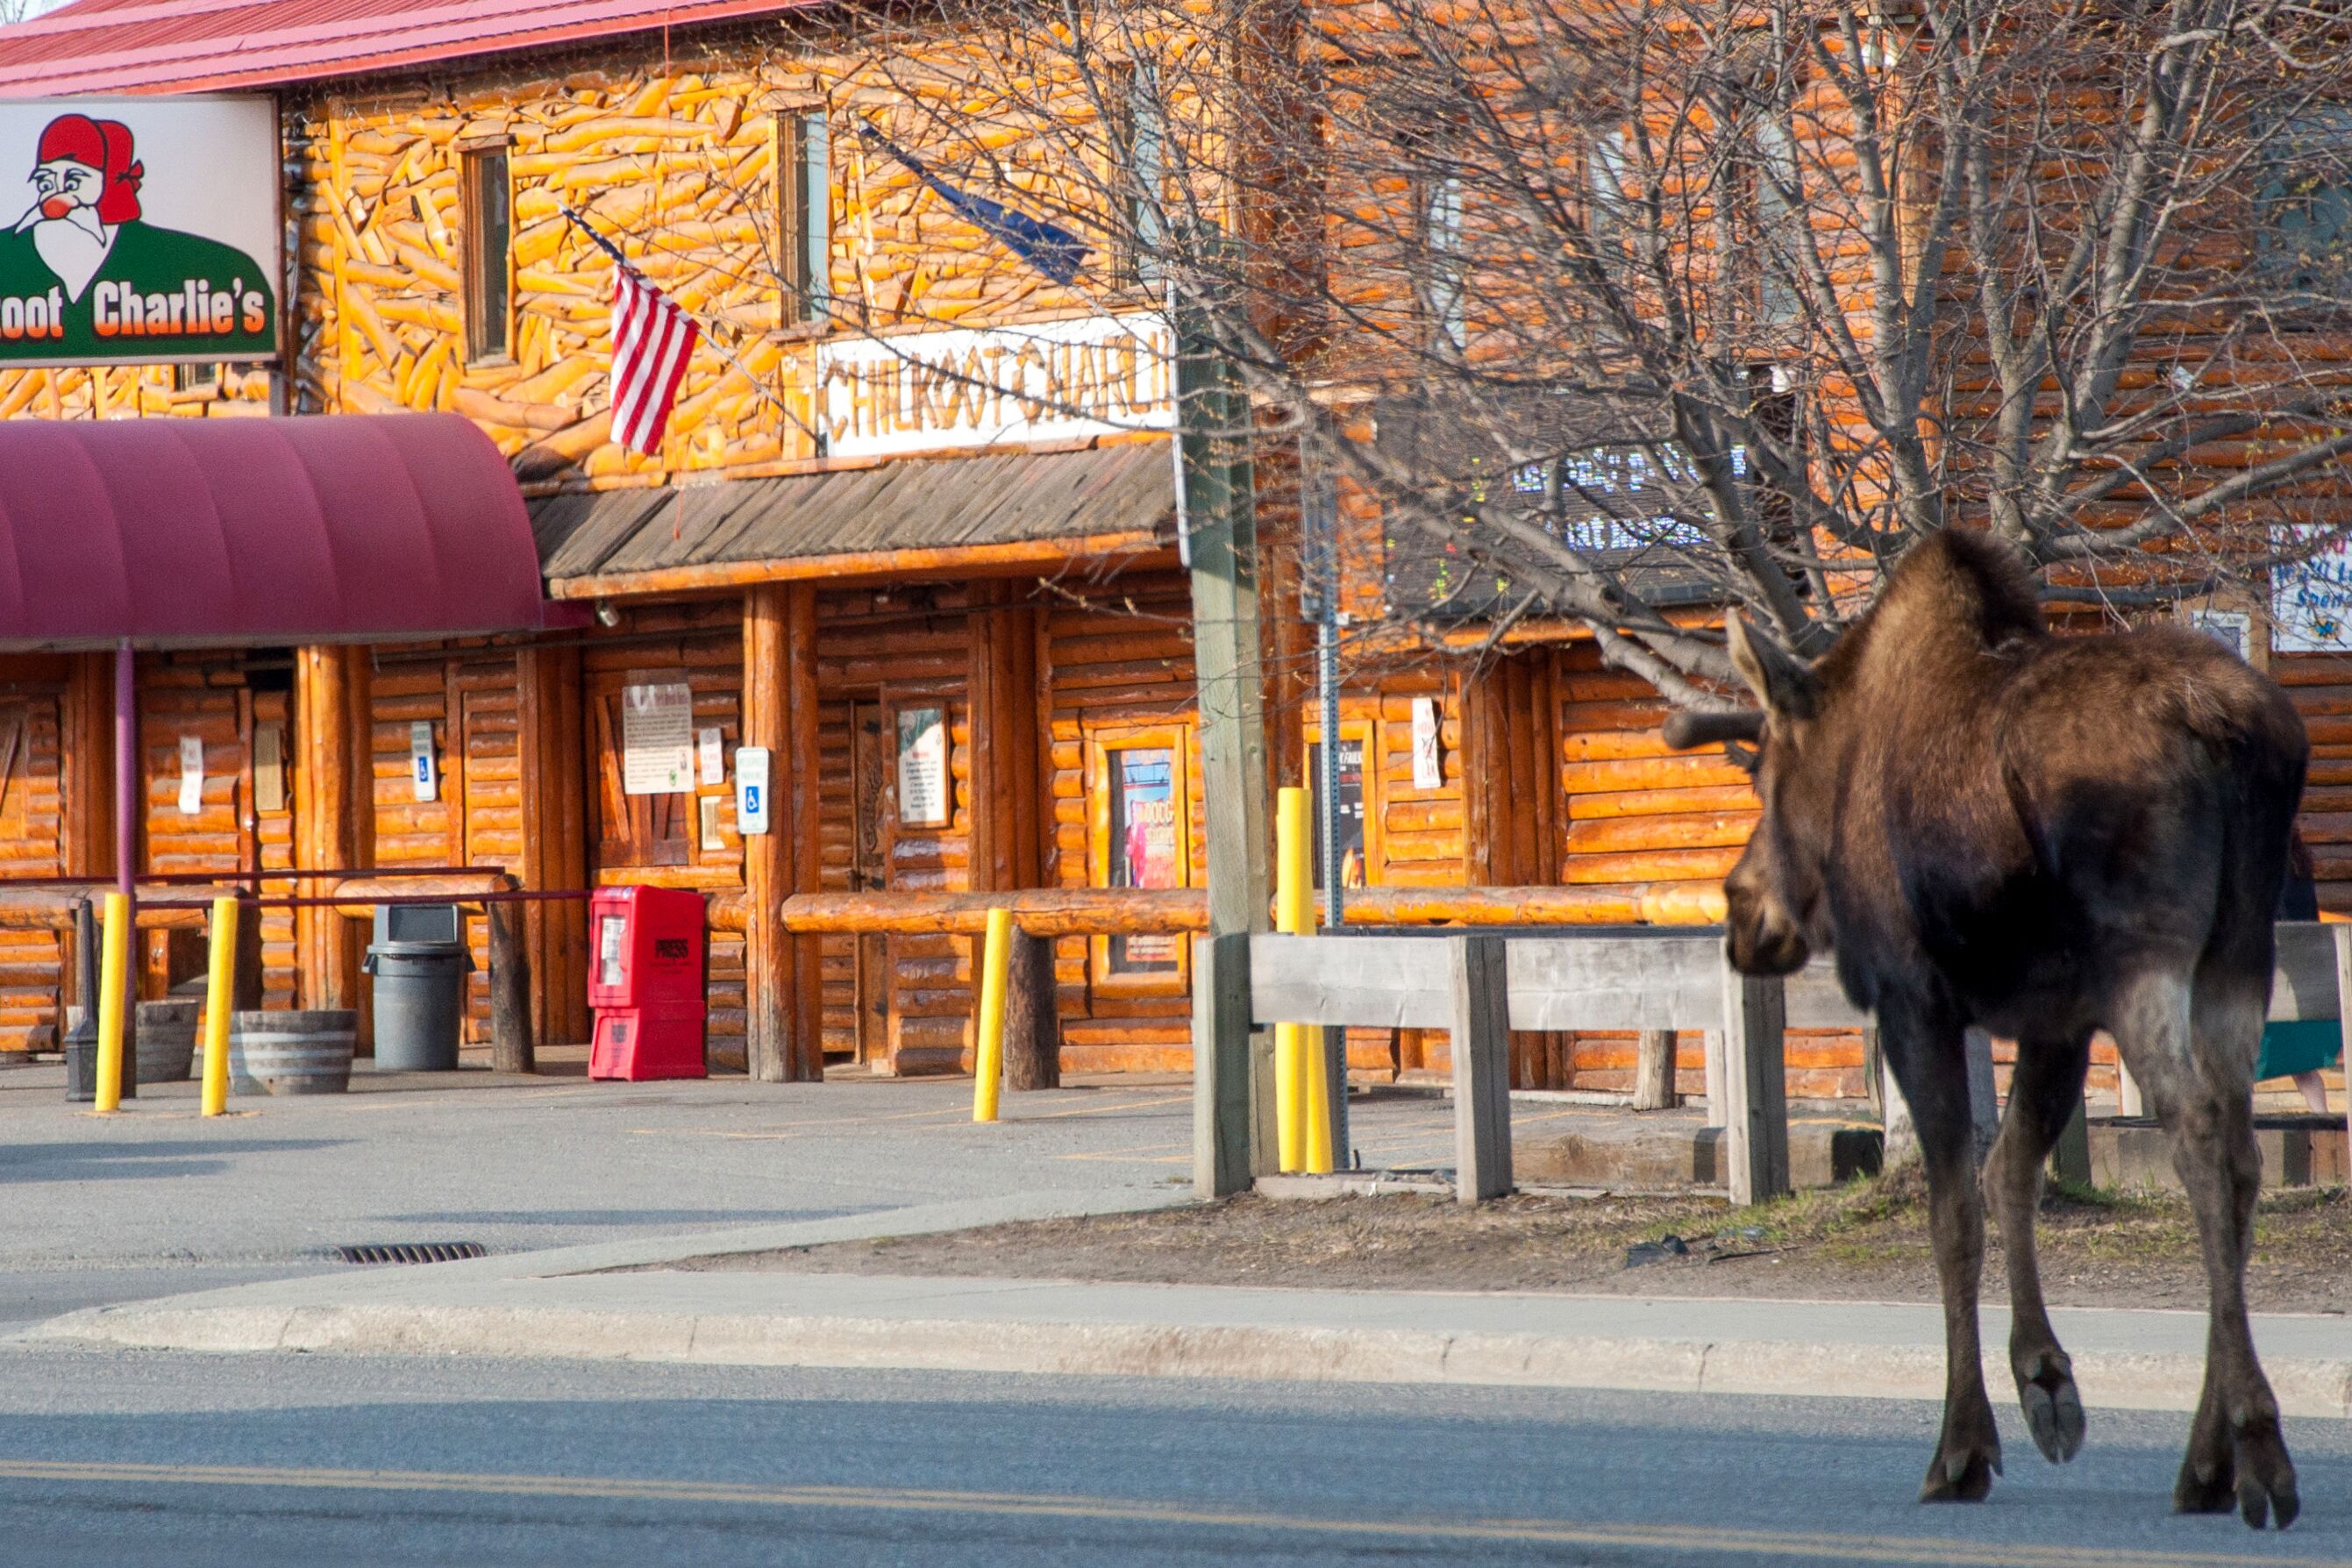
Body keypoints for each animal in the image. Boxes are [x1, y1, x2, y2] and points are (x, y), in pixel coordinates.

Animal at [1664, 524, 2305, 1523]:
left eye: (1763, 770)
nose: (1742, 912)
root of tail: (2236, 735)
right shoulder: (2058, 1016)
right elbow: (2010, 1171)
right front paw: (2045, 1381)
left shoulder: (1912, 998)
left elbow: (1953, 1206)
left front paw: (1962, 1446)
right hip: (2238, 952)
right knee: (2241, 1157)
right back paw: (2207, 1459)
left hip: (2143, 951)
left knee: (2199, 1133)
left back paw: (2258, 1450)